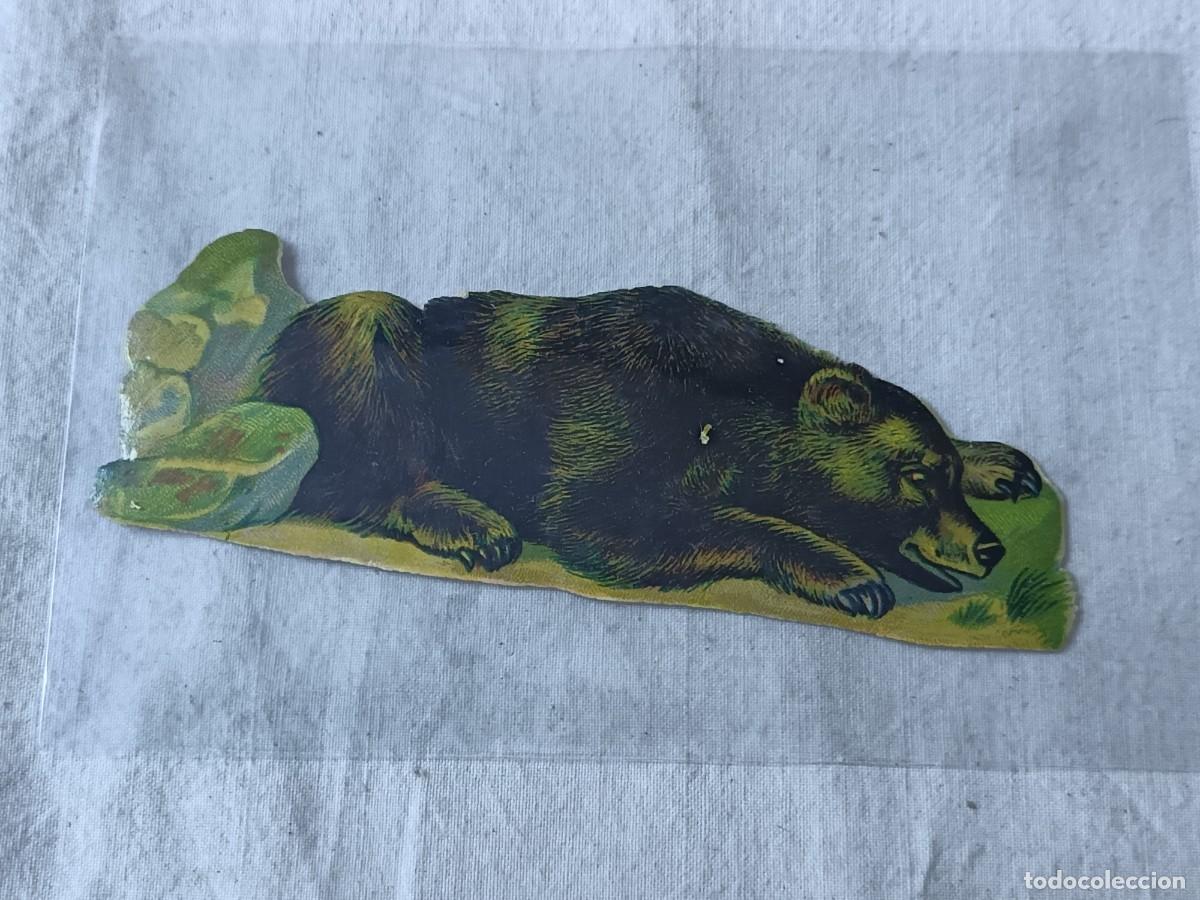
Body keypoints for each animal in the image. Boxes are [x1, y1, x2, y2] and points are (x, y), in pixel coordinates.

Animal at [257, 286, 1041, 619]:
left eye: (944, 476)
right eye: (913, 477)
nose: (988, 549)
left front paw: (1000, 461)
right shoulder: (611, 427)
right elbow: (620, 522)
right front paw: (847, 573)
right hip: (371, 363)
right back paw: (469, 521)